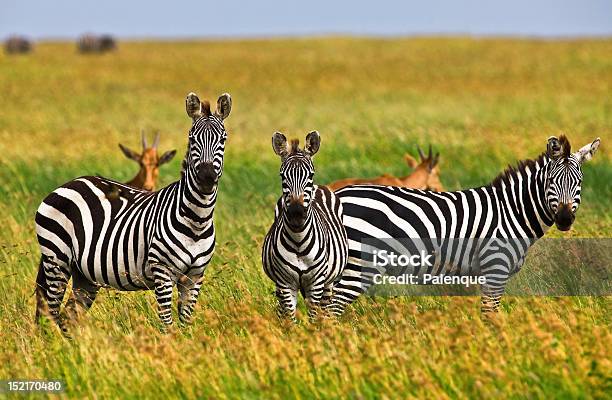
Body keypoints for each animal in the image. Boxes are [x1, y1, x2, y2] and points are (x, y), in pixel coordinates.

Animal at [34, 91, 233, 332]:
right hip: (56, 260)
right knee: (50, 313)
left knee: (67, 318)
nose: (206, 178)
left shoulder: (195, 277)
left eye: (223, 140)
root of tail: (71, 182)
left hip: (84, 275)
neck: (197, 219)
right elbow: (167, 325)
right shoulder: (162, 271)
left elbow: (185, 324)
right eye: (192, 139)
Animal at [260, 132, 350, 322]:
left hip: (328, 281)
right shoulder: (285, 283)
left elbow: (313, 317)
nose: (296, 213)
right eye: (282, 176)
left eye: (310, 174)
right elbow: (290, 318)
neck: (298, 240)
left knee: (325, 307)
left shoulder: (315, 284)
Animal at [328, 135, 600, 316]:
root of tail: (336, 195)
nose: (564, 219)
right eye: (551, 181)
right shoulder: (495, 268)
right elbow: (491, 316)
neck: (511, 211)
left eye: (579, 181)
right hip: (359, 265)